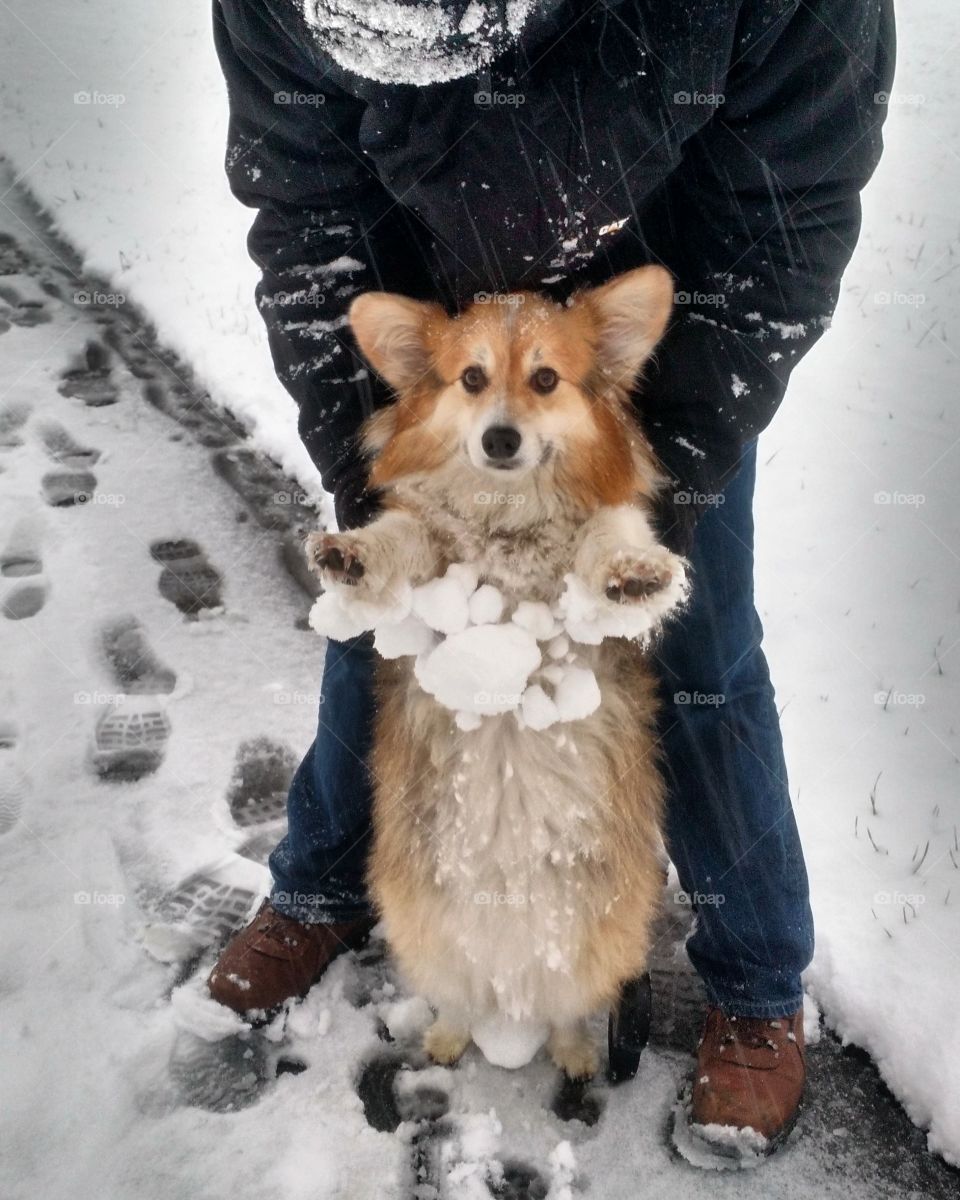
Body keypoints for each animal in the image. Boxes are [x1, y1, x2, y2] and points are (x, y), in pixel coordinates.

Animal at [312, 267, 686, 1084]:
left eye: (546, 379)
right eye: (472, 378)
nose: (501, 438)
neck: (509, 517)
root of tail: (509, 998)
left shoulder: (591, 535)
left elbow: (606, 538)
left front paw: (633, 572)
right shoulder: (432, 547)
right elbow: (404, 538)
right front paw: (355, 556)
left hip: (604, 929)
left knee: (569, 1007)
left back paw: (574, 1052)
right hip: (420, 915)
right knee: (455, 996)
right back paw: (450, 1037)